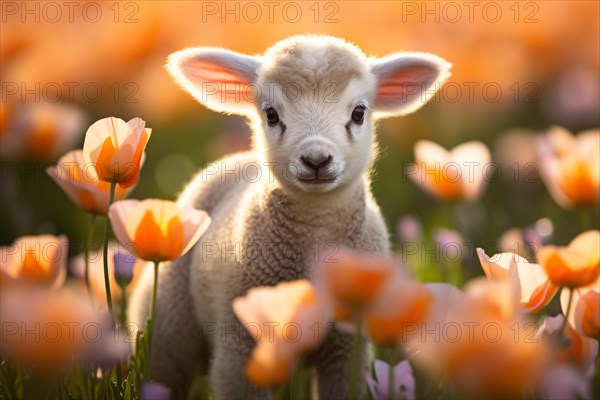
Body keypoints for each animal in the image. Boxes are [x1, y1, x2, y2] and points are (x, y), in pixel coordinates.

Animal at [130, 35, 450, 400]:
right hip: (169, 322)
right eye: (271, 114)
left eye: (358, 113)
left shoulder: (348, 345)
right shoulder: (240, 340)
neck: (315, 229)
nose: (316, 159)